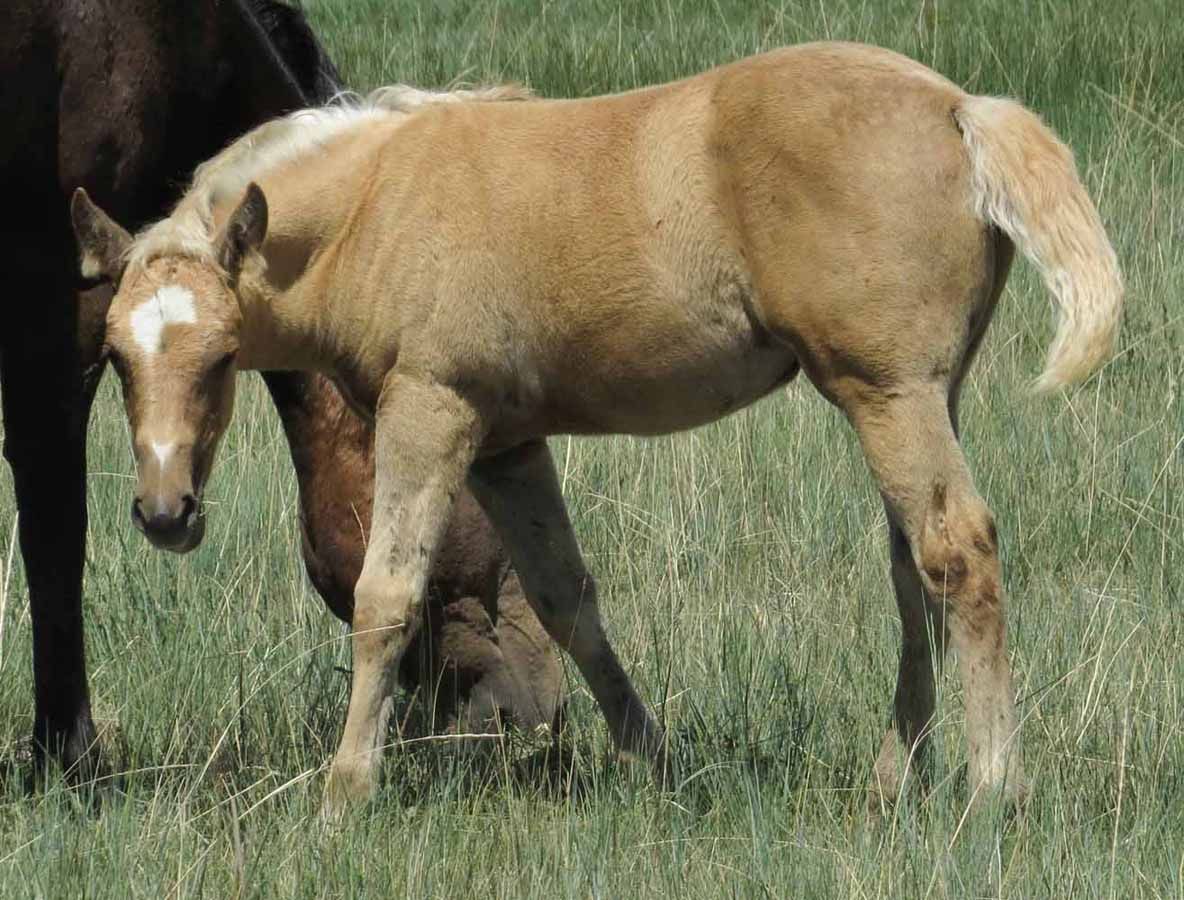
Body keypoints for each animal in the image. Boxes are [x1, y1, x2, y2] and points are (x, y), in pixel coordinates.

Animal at [72, 41, 1123, 817]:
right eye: (117, 358)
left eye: (219, 358)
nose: (165, 513)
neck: (379, 204)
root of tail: (959, 107)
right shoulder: (507, 446)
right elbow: (567, 600)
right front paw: (656, 766)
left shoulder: (433, 408)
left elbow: (386, 595)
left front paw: (343, 795)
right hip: (921, 396)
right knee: (915, 570)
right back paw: (891, 779)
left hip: (888, 392)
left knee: (958, 552)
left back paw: (994, 791)